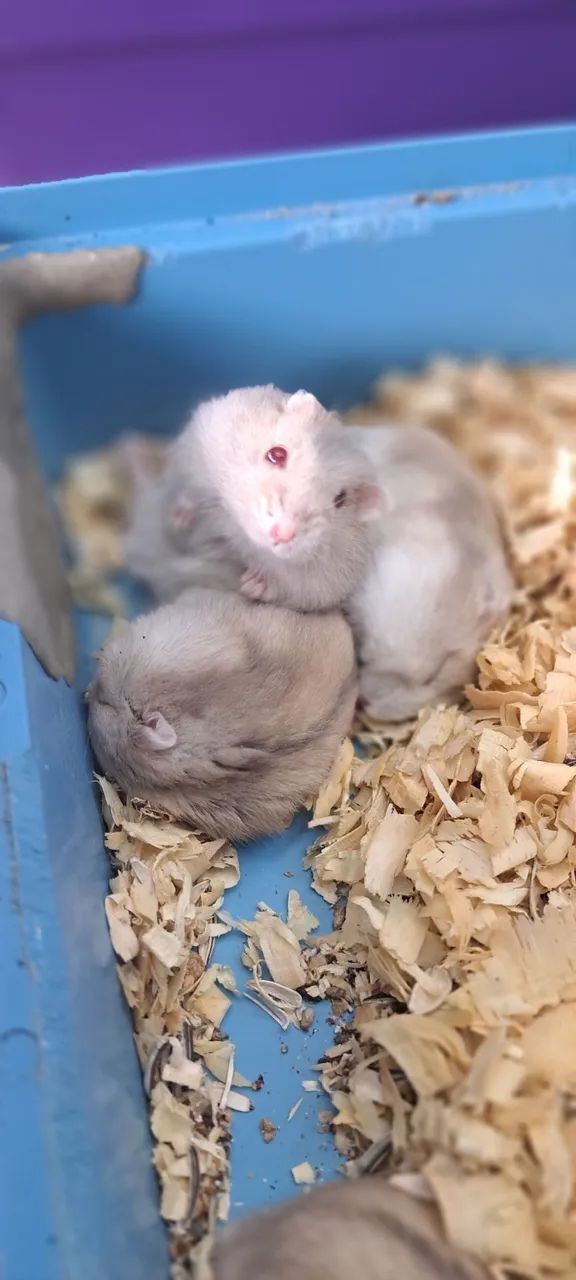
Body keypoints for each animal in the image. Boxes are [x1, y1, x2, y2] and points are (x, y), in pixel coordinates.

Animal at [166, 386, 381, 612]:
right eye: (276, 454)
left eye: (340, 500)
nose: (283, 532)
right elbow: (189, 491)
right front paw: (180, 518)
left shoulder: (327, 584)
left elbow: (288, 588)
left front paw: (251, 584)